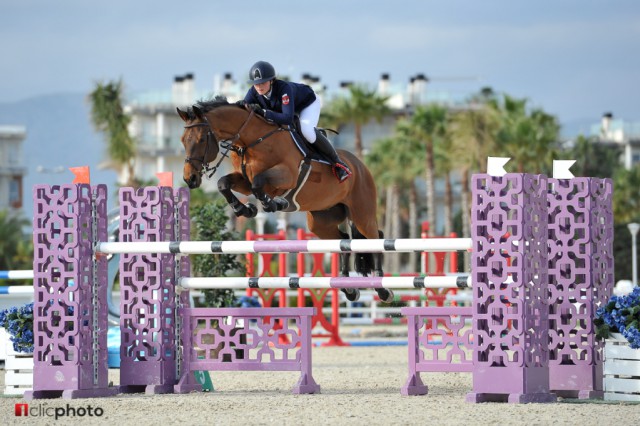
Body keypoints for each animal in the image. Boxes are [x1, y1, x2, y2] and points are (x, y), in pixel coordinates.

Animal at [178, 96, 392, 302]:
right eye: (183, 140)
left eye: (201, 139)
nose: (190, 179)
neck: (252, 140)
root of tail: (359, 165)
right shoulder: (244, 180)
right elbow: (224, 183)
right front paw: (245, 209)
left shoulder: (285, 176)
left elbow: (259, 183)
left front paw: (273, 203)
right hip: (321, 221)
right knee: (344, 241)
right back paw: (349, 288)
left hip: (362, 213)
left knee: (375, 238)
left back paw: (382, 290)